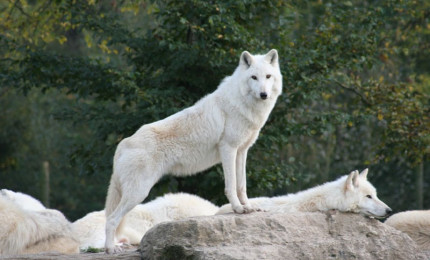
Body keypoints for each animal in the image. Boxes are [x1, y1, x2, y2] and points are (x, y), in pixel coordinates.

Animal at [104, 49, 282, 253]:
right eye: (254, 77)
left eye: (268, 76)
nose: (263, 94)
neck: (242, 103)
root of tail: (122, 144)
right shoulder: (228, 149)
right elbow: (231, 186)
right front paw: (238, 209)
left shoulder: (242, 151)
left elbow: (241, 185)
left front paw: (249, 207)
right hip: (138, 193)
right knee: (111, 220)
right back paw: (110, 249)